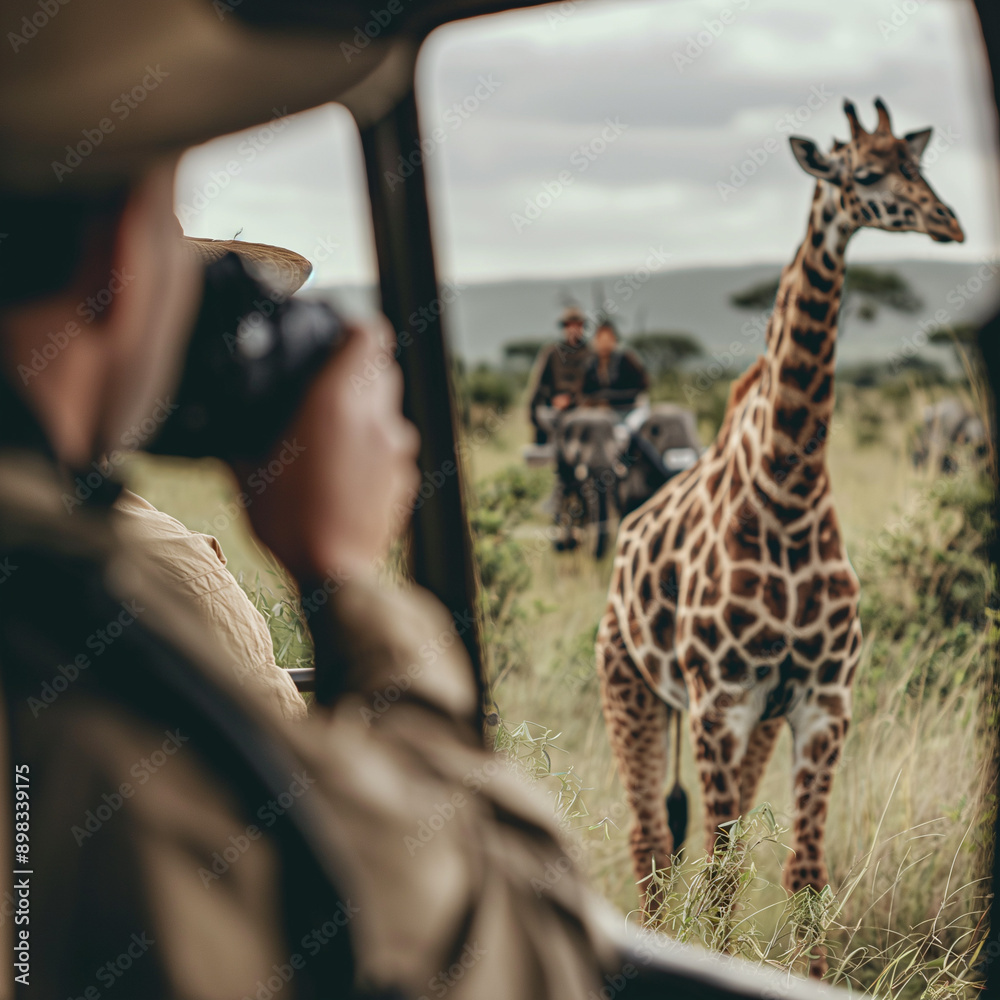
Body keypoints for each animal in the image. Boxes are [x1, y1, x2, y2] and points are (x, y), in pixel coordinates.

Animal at [596, 97, 964, 964]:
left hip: (751, 719)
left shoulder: (823, 702)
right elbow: (721, 868)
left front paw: (814, 971)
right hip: (632, 688)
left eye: (919, 165)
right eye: (864, 174)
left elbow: (803, 871)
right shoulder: (718, 705)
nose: (952, 223)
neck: (787, 496)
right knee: (649, 843)